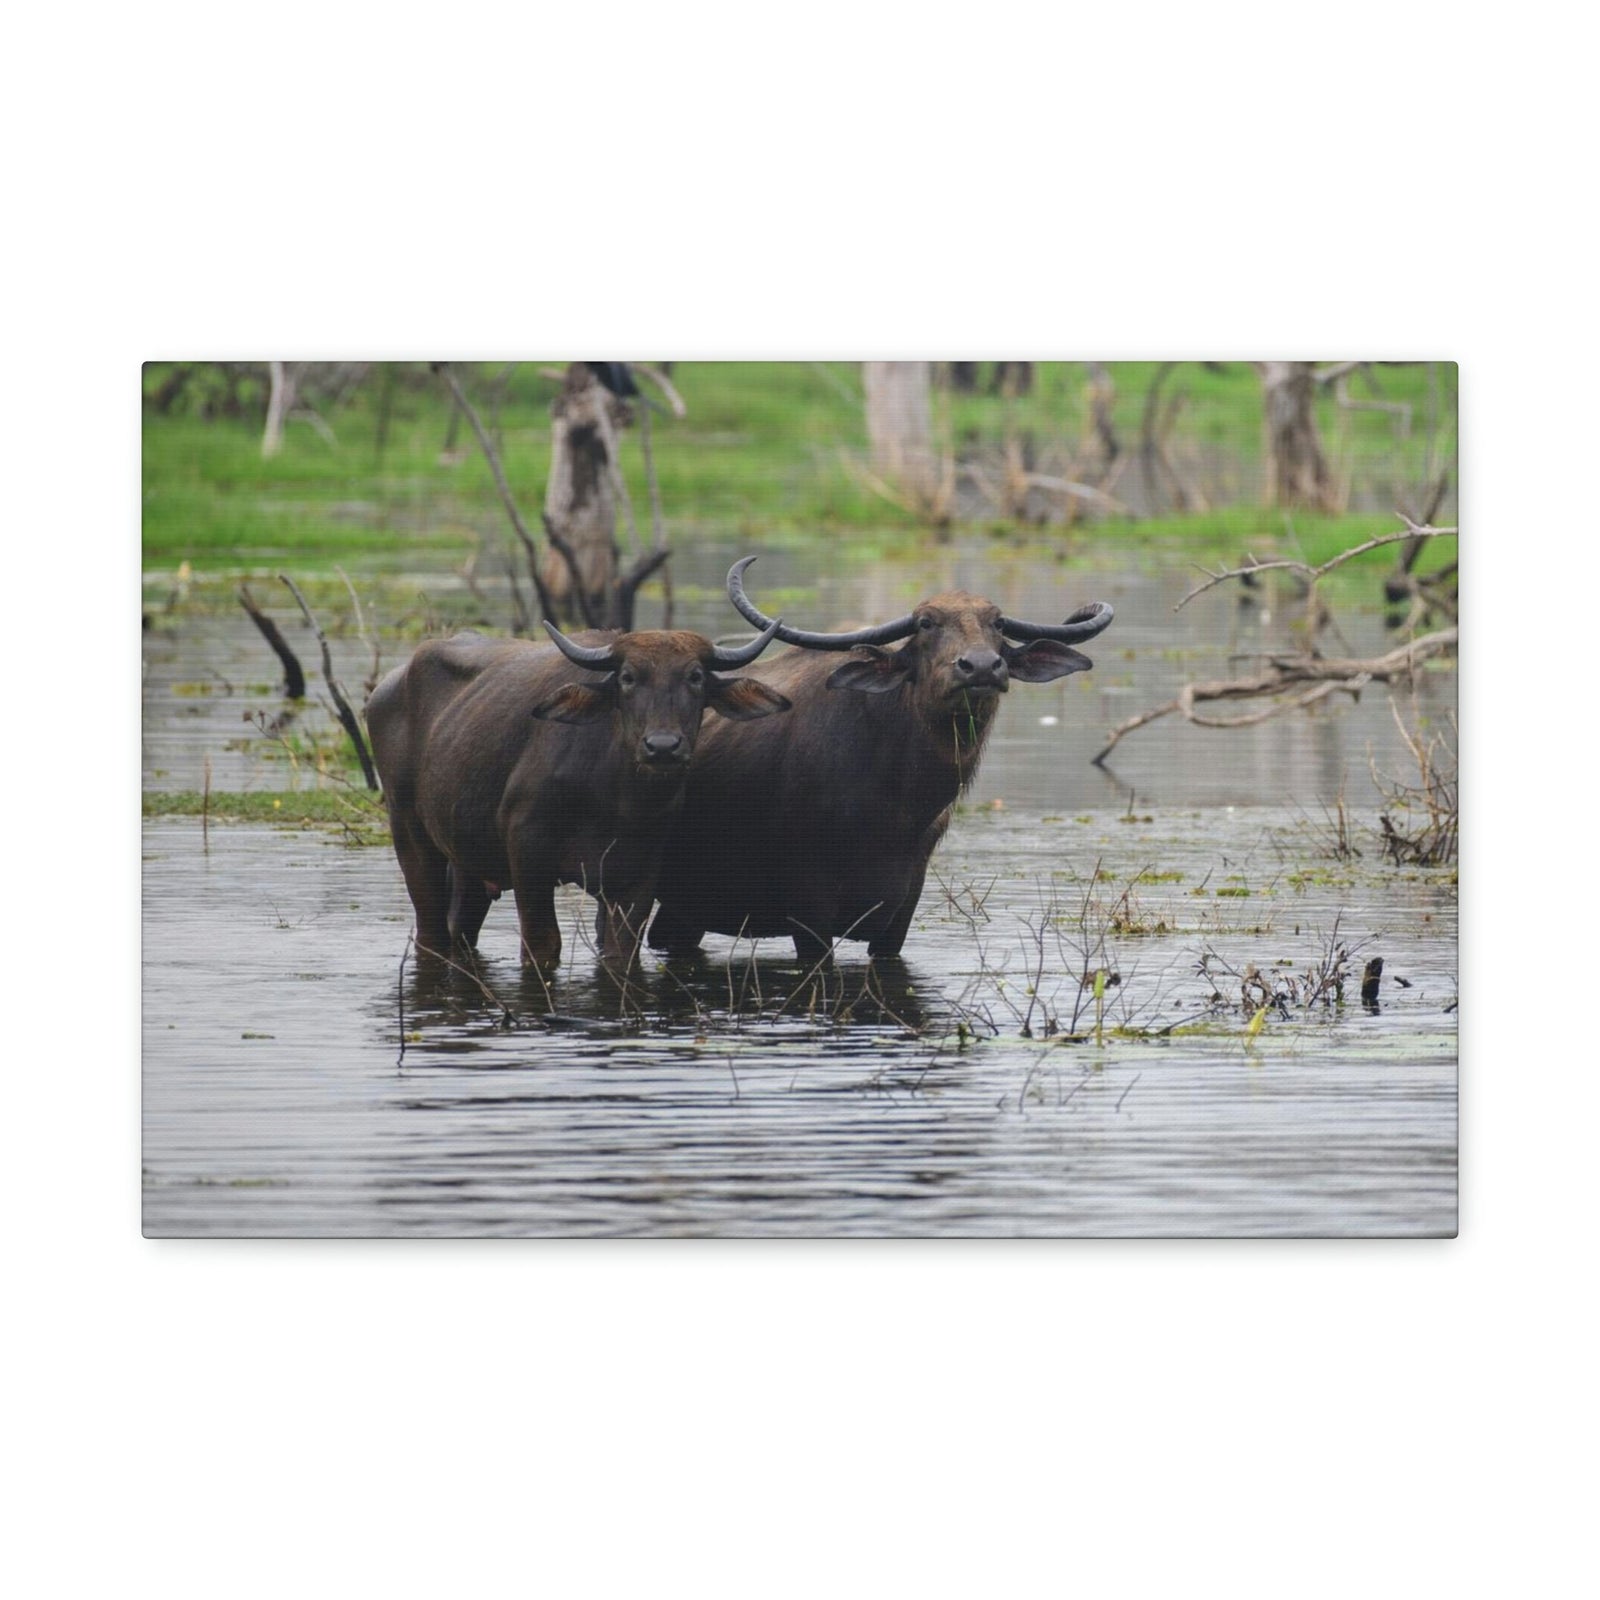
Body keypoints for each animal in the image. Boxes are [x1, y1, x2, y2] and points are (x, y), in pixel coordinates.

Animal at [366, 620, 790, 972]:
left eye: (696, 676)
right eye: (628, 677)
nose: (663, 747)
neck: (616, 799)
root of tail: (386, 687)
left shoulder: (639, 874)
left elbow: (622, 952)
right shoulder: (528, 858)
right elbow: (542, 946)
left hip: (467, 857)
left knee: (460, 929)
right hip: (409, 831)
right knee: (431, 933)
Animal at [647, 559, 1113, 962]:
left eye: (997, 623)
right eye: (926, 623)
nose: (981, 666)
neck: (896, 804)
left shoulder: (900, 912)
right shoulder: (808, 910)